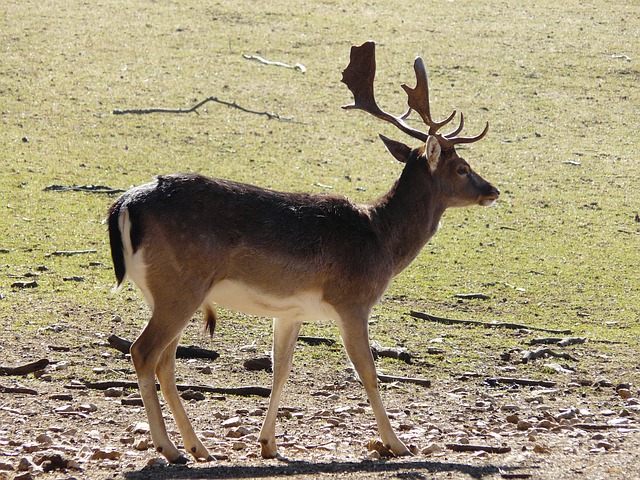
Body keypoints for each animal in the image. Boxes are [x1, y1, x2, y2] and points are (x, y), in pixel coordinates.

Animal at [109, 42, 500, 464]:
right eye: (462, 167)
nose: (493, 190)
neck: (381, 238)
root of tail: (124, 206)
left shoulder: (290, 312)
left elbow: (280, 370)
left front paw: (268, 443)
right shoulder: (352, 301)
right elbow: (368, 372)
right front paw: (397, 443)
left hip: (165, 292)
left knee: (165, 360)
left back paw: (199, 448)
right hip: (180, 286)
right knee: (143, 351)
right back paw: (170, 448)